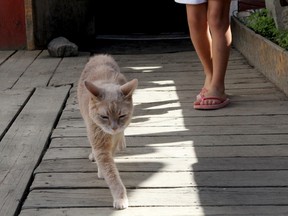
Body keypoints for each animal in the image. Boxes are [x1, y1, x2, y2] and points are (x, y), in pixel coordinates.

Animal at [77, 54, 138, 209]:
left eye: (121, 116)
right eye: (104, 117)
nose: (114, 127)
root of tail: (100, 56)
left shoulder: (113, 141)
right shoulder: (100, 145)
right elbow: (111, 173)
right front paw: (120, 197)